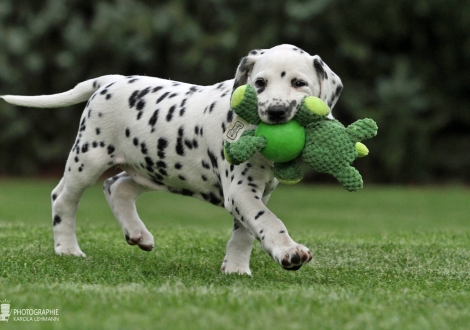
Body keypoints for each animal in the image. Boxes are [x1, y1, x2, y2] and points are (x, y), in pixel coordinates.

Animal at [1, 44, 344, 276]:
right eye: (259, 83)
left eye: (299, 83)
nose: (275, 112)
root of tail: (111, 80)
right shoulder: (241, 190)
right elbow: (269, 221)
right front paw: (289, 252)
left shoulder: (256, 190)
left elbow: (246, 231)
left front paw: (235, 268)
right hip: (88, 158)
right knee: (63, 199)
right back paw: (68, 249)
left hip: (154, 168)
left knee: (117, 187)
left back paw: (137, 233)